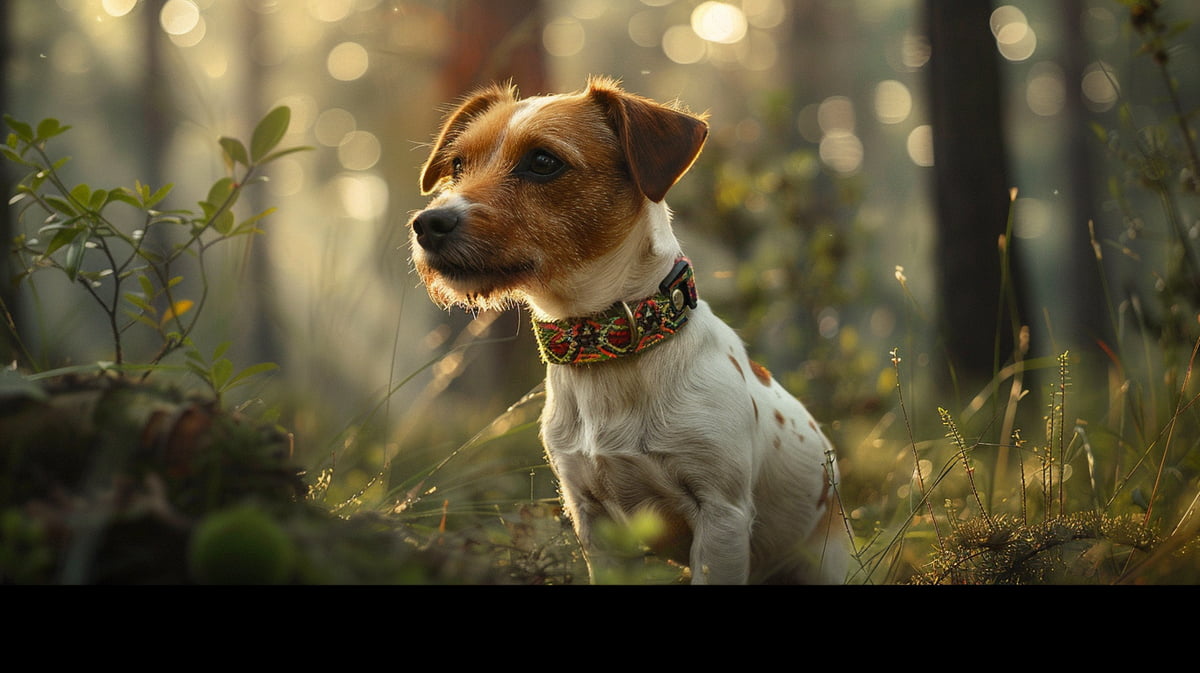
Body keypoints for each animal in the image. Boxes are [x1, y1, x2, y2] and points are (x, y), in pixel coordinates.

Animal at [408, 76, 849, 583]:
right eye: (457, 165)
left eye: (543, 161)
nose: (427, 223)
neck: (608, 347)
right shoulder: (592, 515)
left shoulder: (722, 515)